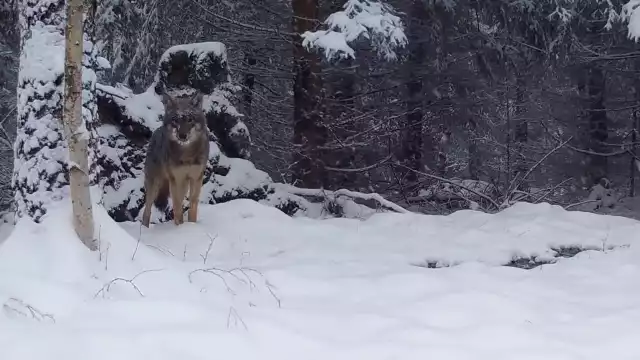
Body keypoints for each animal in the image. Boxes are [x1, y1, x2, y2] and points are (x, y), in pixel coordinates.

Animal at [142, 92, 210, 228]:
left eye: (190, 119)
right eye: (175, 119)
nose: (182, 136)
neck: (187, 154)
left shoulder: (196, 178)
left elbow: (192, 206)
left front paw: (192, 226)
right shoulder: (176, 180)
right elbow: (177, 207)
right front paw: (179, 227)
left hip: (183, 184)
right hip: (155, 186)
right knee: (147, 210)